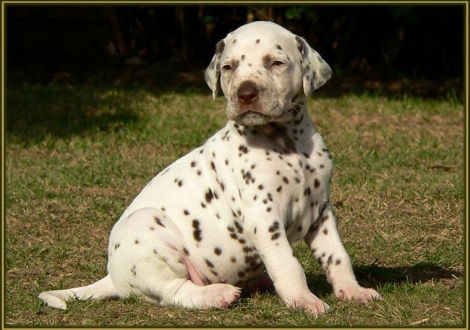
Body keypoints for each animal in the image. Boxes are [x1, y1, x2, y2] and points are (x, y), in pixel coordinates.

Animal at [38, 20, 380, 314]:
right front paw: (303, 300)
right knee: (173, 291)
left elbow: (337, 256)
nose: (246, 93)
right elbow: (288, 264)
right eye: (229, 67)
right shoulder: (263, 218)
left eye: (276, 63)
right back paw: (217, 294)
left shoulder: (320, 212)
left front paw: (353, 291)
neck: (286, 143)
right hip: (148, 229)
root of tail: (113, 277)